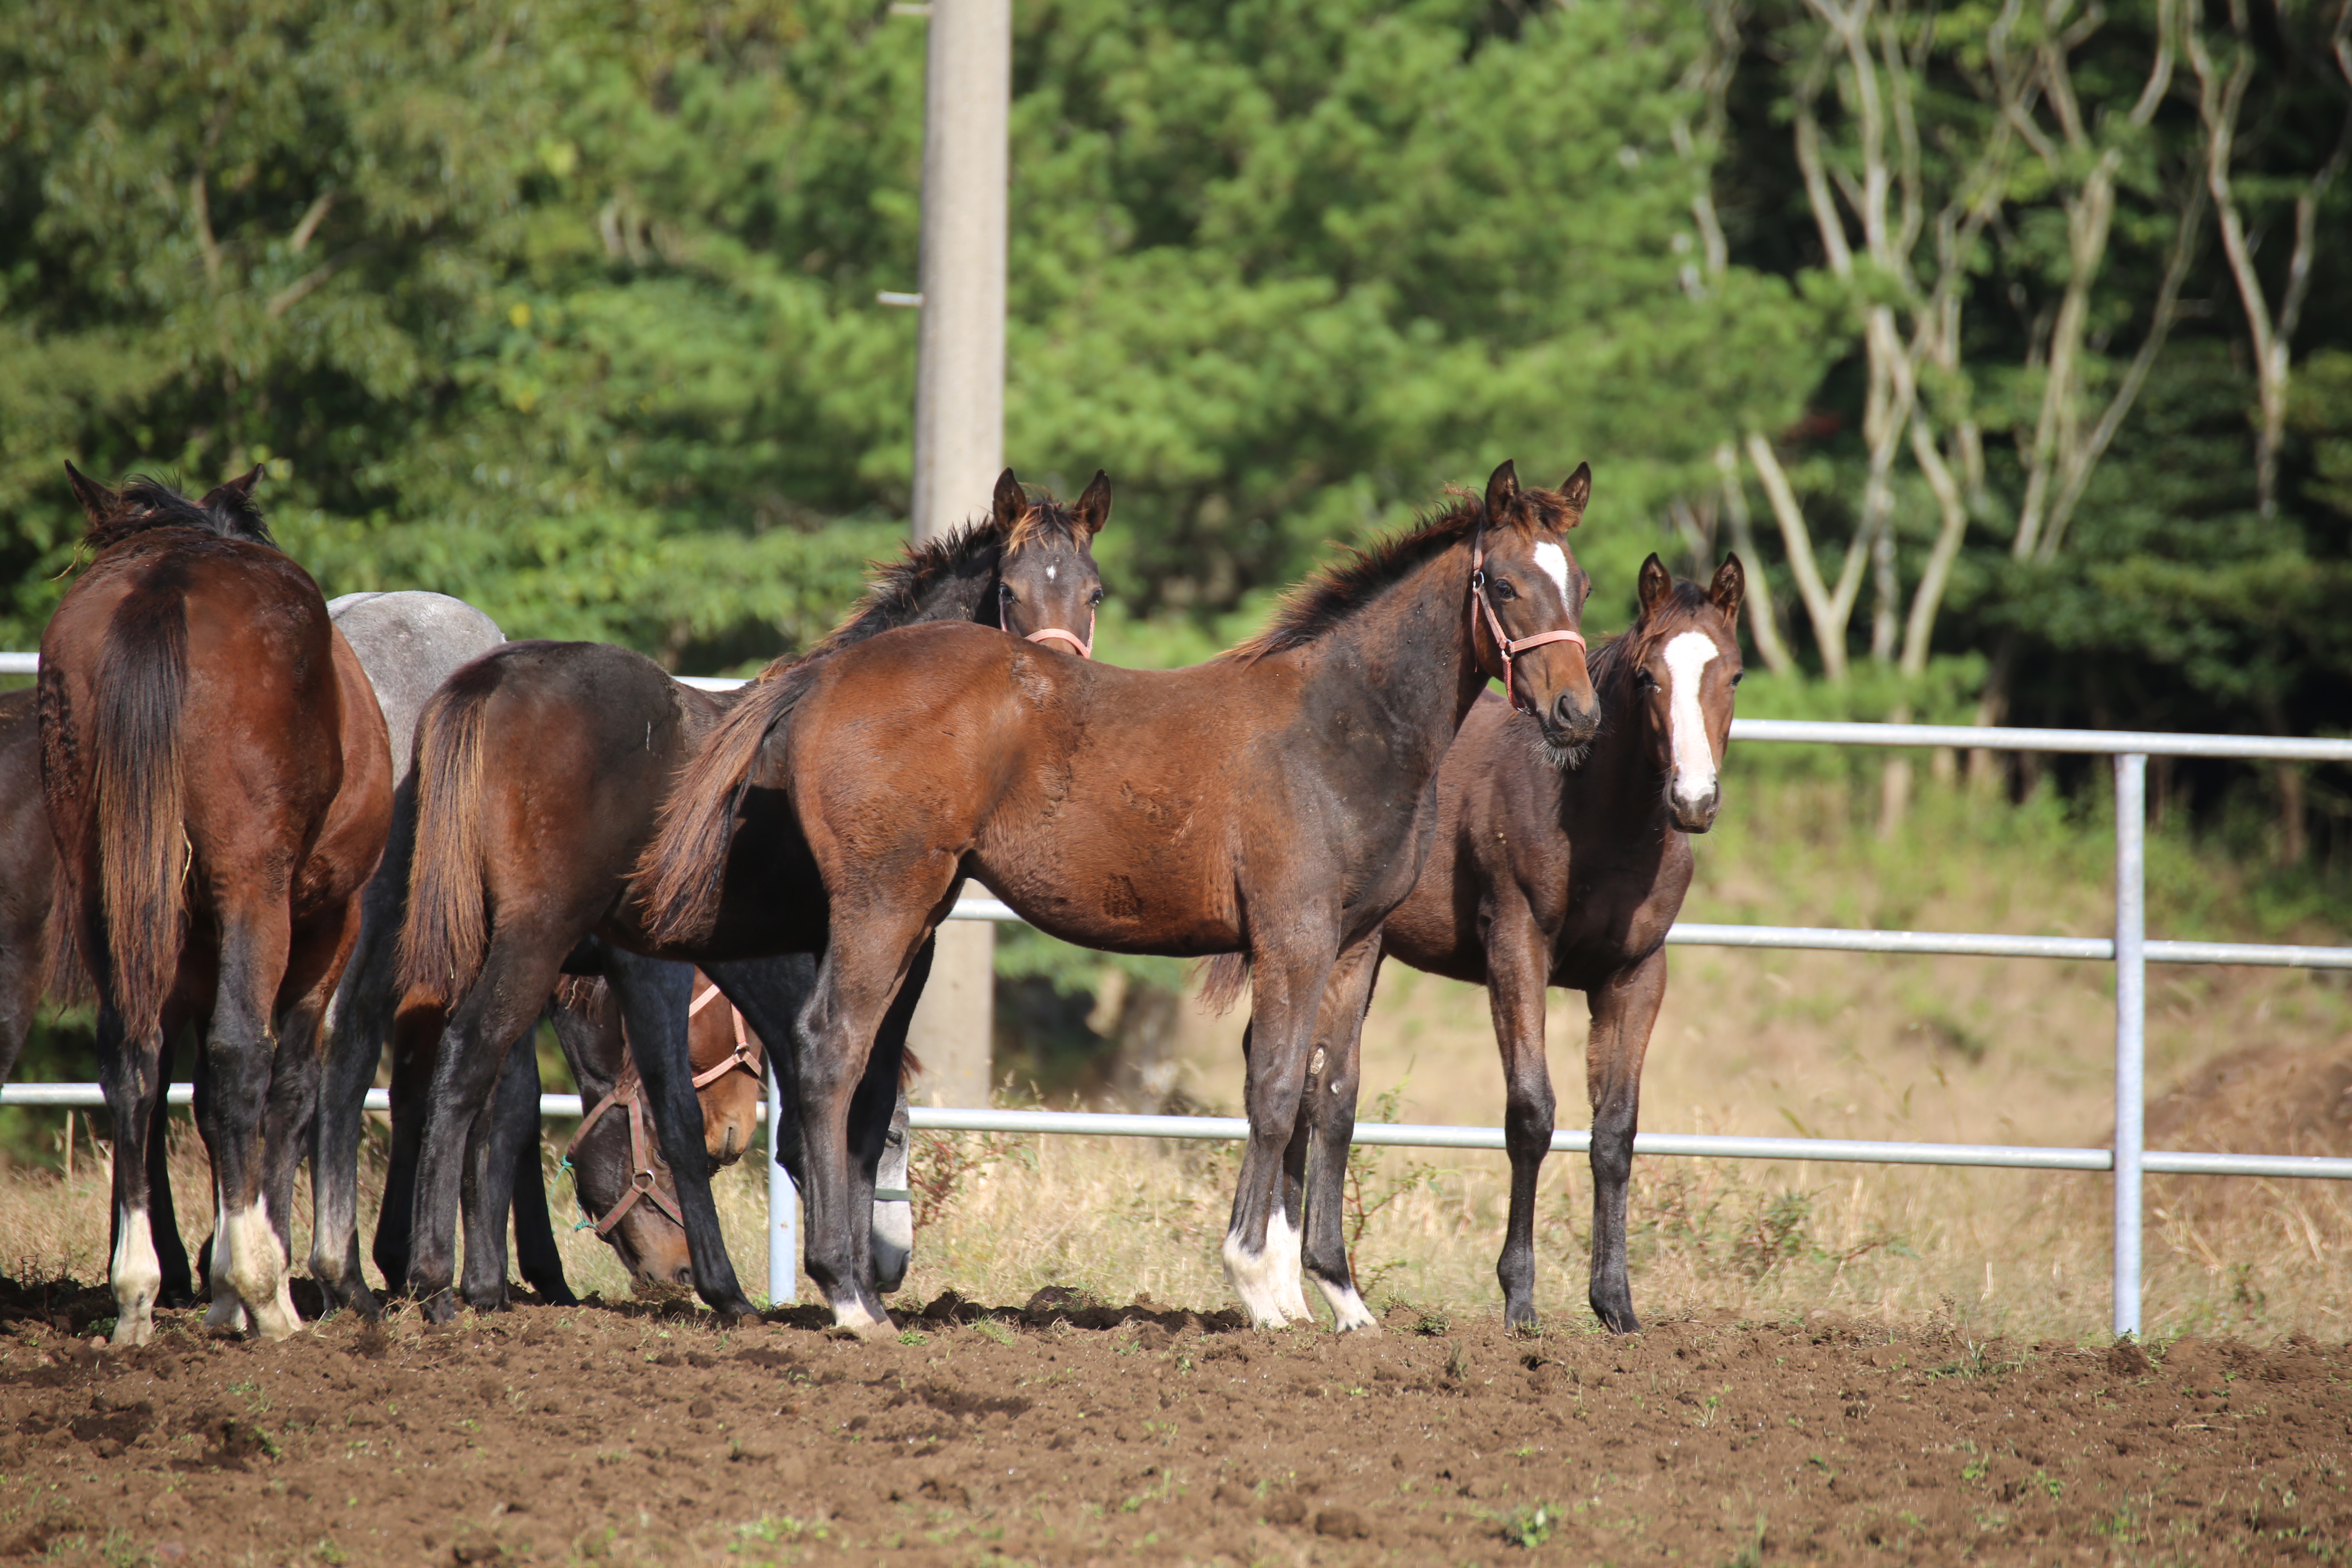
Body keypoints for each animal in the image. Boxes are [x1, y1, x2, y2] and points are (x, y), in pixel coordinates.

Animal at [38, 465, 390, 1354]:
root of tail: (165, 579)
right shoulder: (325, 929)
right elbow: (285, 1086)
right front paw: (243, 1283)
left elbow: (183, 1093)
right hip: (256, 893)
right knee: (241, 1057)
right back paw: (267, 1297)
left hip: (110, 893)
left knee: (130, 1061)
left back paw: (135, 1293)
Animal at [397, 470, 1110, 1326]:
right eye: (1009, 591)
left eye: (1094, 592)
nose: (894, 1267)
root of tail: (490, 679)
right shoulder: (886, 946)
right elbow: (847, 1095)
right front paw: (838, 1286)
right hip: (535, 937)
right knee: (466, 1061)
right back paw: (435, 1282)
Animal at [639, 461, 1599, 1335]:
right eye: (1504, 583)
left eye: (1582, 585)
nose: (1577, 713)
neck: (1340, 726)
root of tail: (825, 676)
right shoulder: (1291, 937)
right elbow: (1274, 1089)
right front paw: (1257, 1285)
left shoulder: (1355, 947)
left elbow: (1331, 1102)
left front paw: (1339, 1296)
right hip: (884, 905)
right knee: (832, 1047)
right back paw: (847, 1296)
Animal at [1326, 557, 1750, 1335]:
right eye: (1647, 677)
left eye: (1732, 674)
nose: (1694, 801)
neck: (1598, 817)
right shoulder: (1517, 950)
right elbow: (1531, 1113)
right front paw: (1519, 1299)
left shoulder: (1636, 976)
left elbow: (1615, 1131)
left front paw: (1616, 1304)